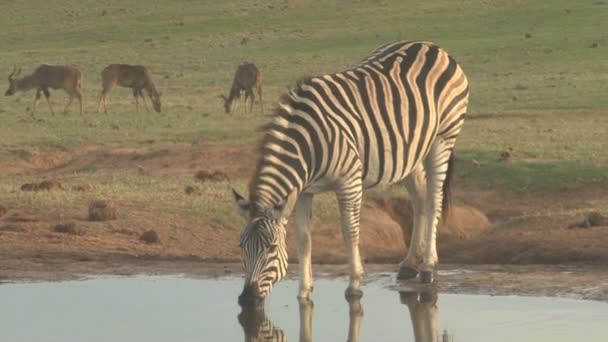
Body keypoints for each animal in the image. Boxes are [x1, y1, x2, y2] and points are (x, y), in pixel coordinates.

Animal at [233, 40, 470, 300]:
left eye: (272, 248)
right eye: (241, 246)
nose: (247, 297)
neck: (308, 145)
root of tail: (432, 46)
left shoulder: (349, 182)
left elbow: (350, 231)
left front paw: (354, 284)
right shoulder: (304, 191)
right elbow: (304, 239)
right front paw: (304, 291)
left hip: (442, 139)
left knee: (434, 200)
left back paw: (428, 267)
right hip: (411, 151)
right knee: (420, 200)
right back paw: (410, 263)